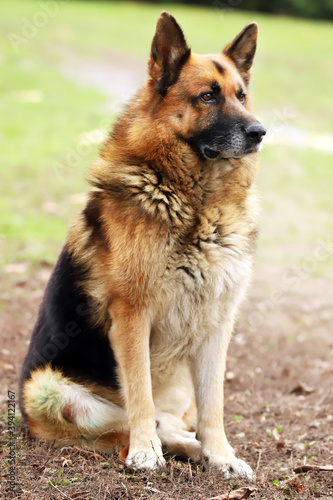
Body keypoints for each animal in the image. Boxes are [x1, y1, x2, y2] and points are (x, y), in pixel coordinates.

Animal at [20, 12, 264, 480]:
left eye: (242, 96)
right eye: (208, 96)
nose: (260, 132)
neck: (196, 202)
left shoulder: (218, 323)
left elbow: (214, 405)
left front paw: (222, 455)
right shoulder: (133, 317)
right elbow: (140, 392)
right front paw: (145, 452)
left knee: (175, 419)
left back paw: (197, 447)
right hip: (48, 390)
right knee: (134, 421)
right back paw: (167, 445)